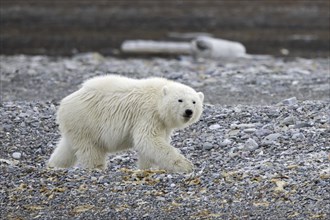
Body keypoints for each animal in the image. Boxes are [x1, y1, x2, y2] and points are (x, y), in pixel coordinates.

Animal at [48, 75, 204, 173]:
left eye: (194, 102)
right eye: (180, 100)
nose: (189, 111)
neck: (157, 98)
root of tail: (64, 104)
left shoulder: (162, 123)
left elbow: (150, 146)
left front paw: (147, 168)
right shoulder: (147, 114)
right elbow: (148, 139)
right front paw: (185, 165)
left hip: (76, 126)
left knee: (66, 148)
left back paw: (54, 165)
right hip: (86, 121)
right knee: (90, 149)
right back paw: (97, 167)